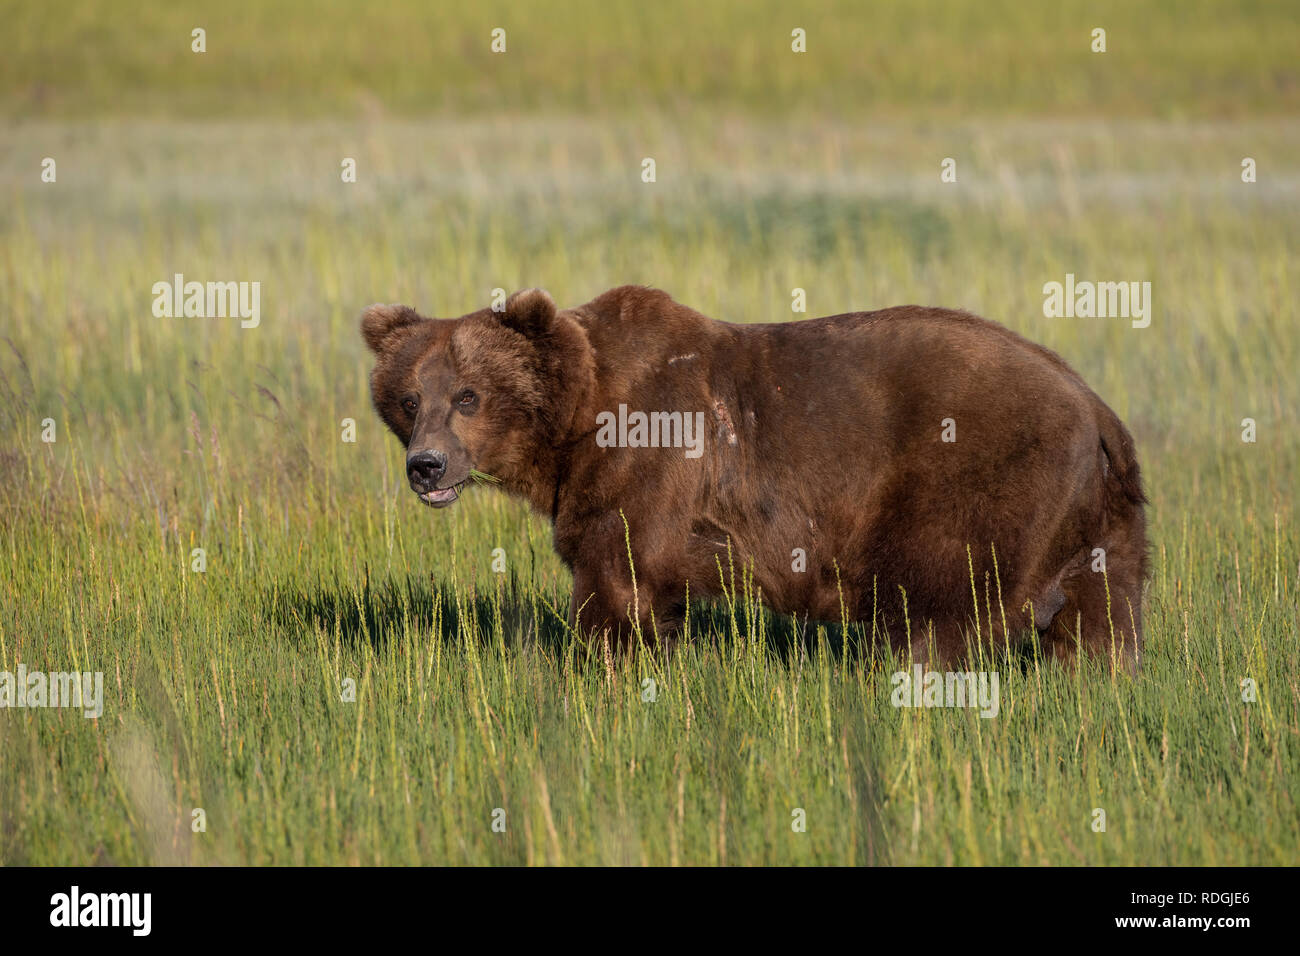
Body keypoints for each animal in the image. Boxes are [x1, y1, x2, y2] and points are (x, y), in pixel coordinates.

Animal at [361, 287, 1144, 671]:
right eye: (410, 399)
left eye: (469, 396)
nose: (426, 465)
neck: (578, 419)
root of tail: (1097, 406)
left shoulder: (649, 464)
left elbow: (618, 584)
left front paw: (603, 669)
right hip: (1101, 519)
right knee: (1101, 620)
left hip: (980, 478)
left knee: (942, 601)